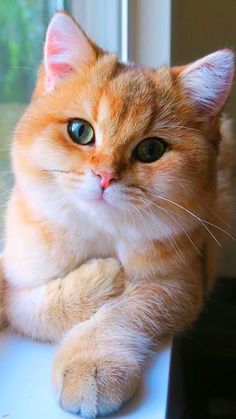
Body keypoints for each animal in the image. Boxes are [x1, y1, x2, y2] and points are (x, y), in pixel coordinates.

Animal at [1, 10, 234, 419]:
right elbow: (25, 305)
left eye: (151, 150)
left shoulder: (180, 283)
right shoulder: (14, 273)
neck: (98, 232)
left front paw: (92, 362)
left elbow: (126, 310)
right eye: (80, 131)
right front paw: (101, 279)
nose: (105, 176)